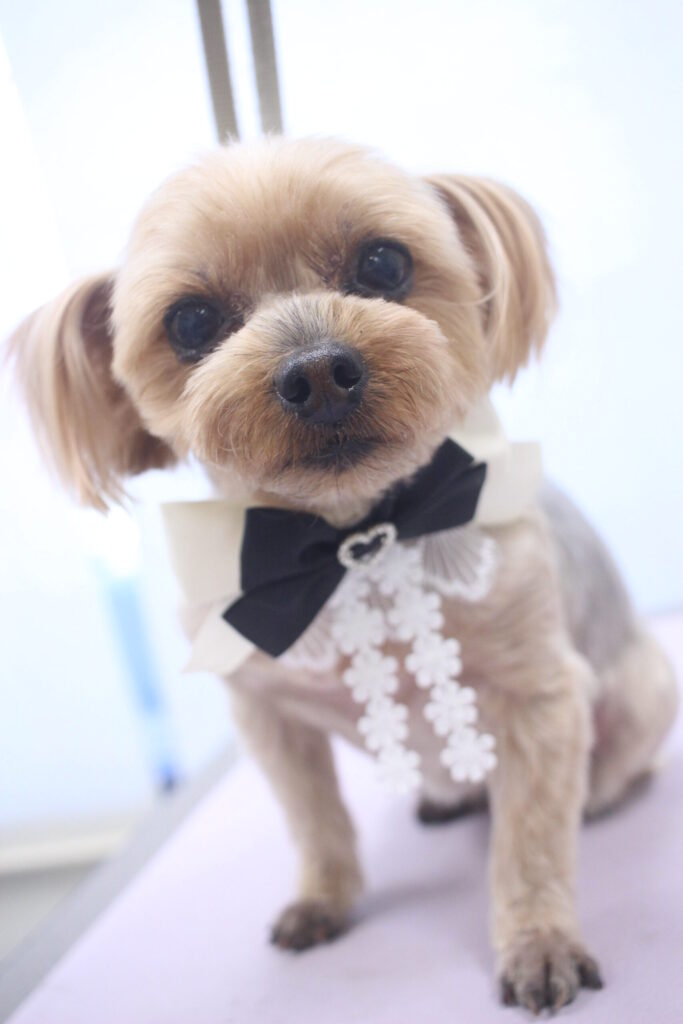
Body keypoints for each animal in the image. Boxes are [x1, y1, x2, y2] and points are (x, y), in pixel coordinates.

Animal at [9, 137, 678, 1013]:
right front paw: (322, 898)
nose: (319, 370)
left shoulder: (541, 697)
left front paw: (539, 943)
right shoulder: (266, 714)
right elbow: (314, 819)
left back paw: (593, 796)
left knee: (616, 767)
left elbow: (529, 843)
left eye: (384, 263)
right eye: (189, 321)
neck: (349, 541)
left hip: (644, 690)